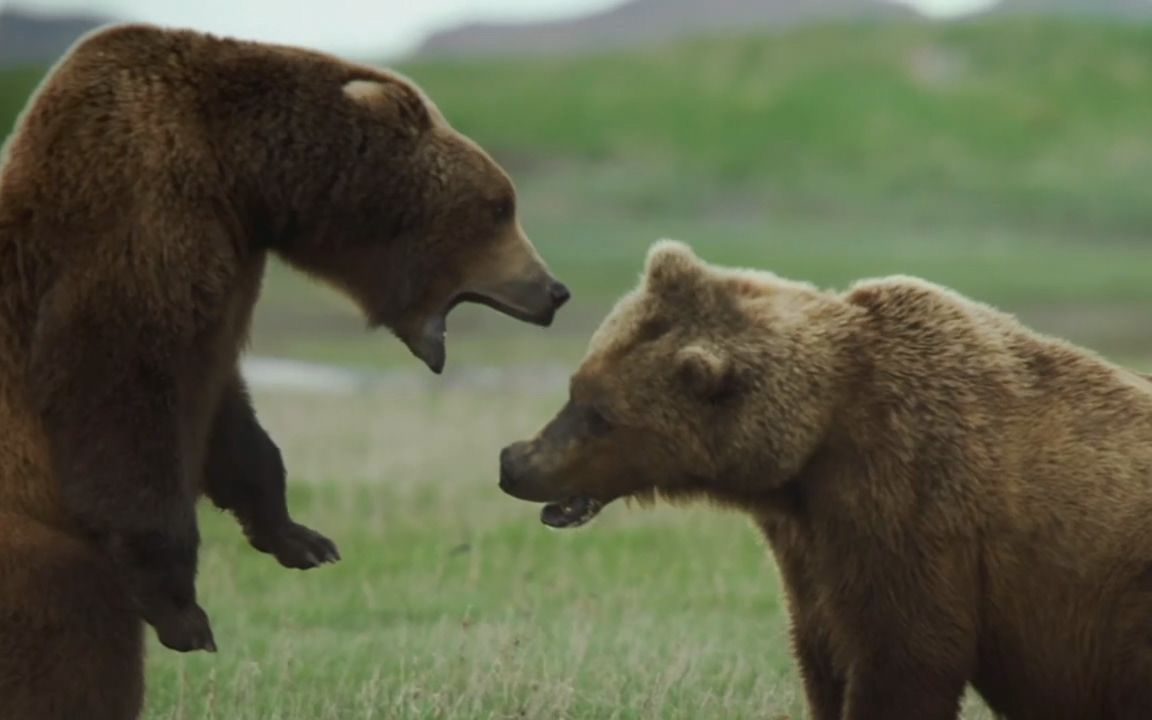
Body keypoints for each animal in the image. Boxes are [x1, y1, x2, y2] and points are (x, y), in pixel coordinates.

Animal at [0, 22, 566, 718]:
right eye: (499, 206)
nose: (553, 290)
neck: (239, 178)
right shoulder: (134, 240)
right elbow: (122, 405)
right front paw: (184, 612)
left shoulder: (217, 290)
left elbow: (227, 422)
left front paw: (301, 539)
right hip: (29, 547)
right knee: (72, 639)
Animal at [502, 239, 1152, 718]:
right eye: (576, 388)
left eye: (599, 413)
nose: (514, 462)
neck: (812, 447)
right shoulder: (812, 544)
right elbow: (823, 654)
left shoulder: (907, 502)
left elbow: (905, 658)